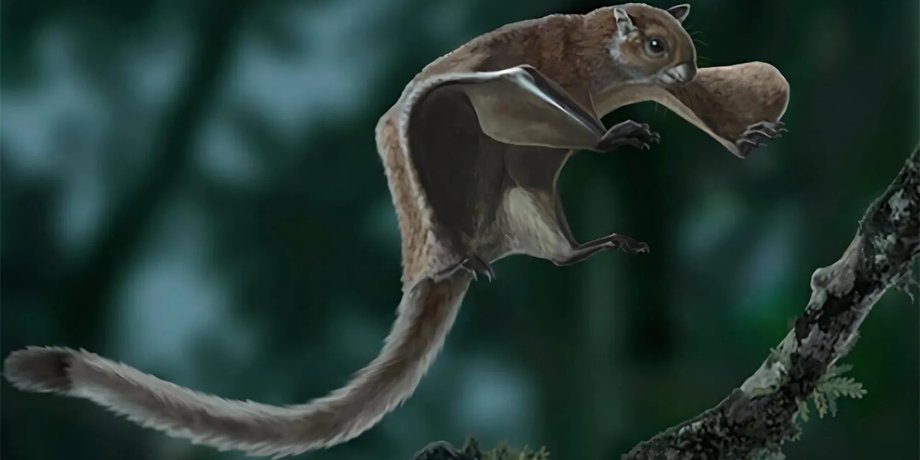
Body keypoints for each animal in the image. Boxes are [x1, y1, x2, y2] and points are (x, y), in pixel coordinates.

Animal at [4, 3, 789, 458]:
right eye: (656, 43)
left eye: (684, 44)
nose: (684, 68)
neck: (597, 62)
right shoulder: (539, 77)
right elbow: (551, 103)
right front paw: (613, 135)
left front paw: (743, 137)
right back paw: (472, 260)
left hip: (529, 198)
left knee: (560, 253)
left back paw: (583, 245)